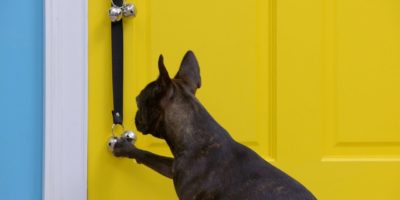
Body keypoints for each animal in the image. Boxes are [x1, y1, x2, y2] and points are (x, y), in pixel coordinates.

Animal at [112, 50, 316, 199]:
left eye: (138, 101)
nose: (136, 116)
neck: (197, 135)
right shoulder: (173, 167)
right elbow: (149, 155)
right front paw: (125, 148)